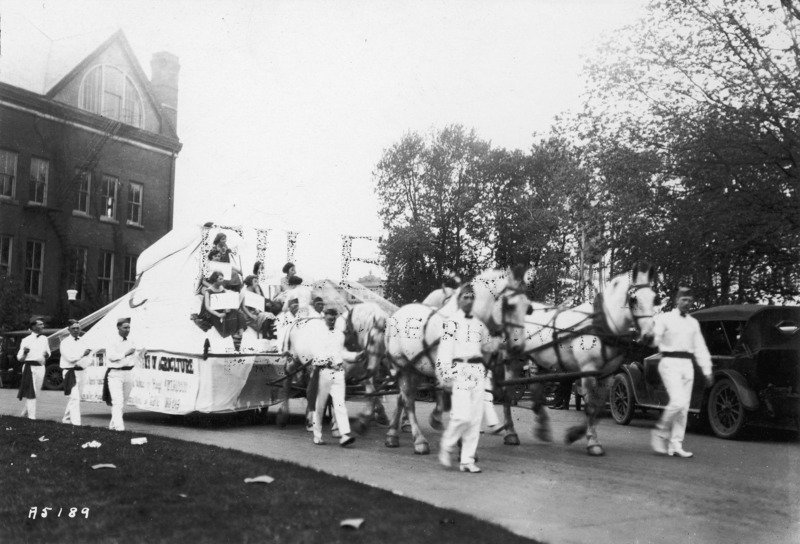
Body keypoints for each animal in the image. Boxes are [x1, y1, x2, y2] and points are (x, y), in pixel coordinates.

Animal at [382, 268, 532, 454]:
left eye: (528, 308)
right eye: (510, 306)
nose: (519, 348)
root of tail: (395, 316)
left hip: (416, 368)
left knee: (402, 398)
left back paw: (392, 434)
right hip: (401, 365)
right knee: (408, 400)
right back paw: (419, 441)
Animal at [504, 262, 660, 454]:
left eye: (655, 299)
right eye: (634, 299)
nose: (649, 336)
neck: (603, 325)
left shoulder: (607, 375)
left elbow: (598, 406)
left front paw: (576, 434)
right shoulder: (588, 370)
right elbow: (591, 406)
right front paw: (592, 442)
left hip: (539, 360)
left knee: (535, 387)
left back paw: (542, 428)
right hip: (513, 360)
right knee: (508, 392)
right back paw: (510, 433)